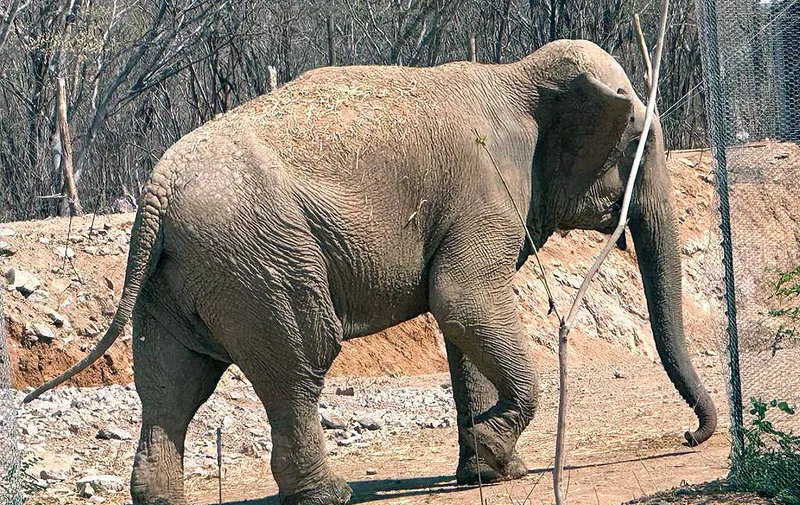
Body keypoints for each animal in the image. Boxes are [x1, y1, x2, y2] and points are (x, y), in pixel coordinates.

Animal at [24, 39, 717, 505]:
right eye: (639, 146)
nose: (688, 436)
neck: (519, 73)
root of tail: (157, 191)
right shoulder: (484, 191)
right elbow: (463, 300)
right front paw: (495, 456)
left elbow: (461, 325)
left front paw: (488, 472)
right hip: (260, 258)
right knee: (300, 360)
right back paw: (330, 495)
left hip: (177, 274)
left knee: (172, 382)